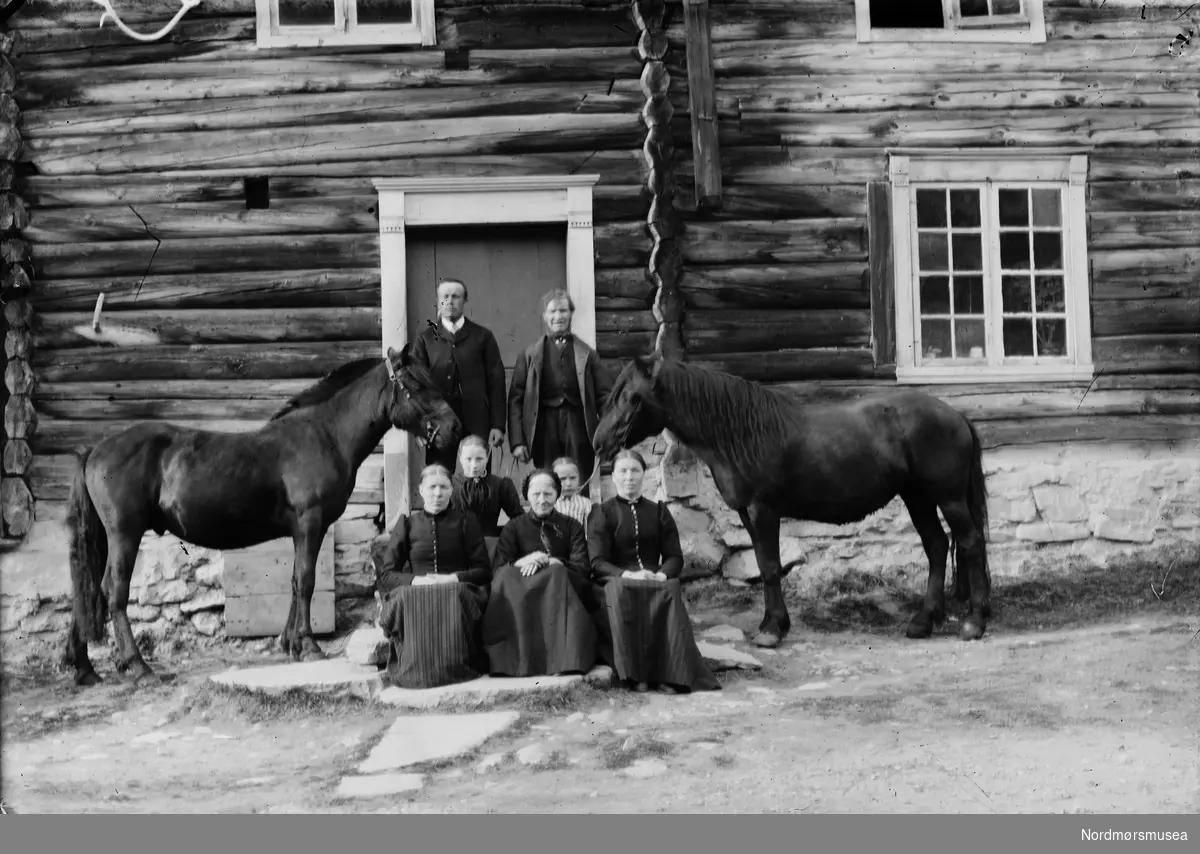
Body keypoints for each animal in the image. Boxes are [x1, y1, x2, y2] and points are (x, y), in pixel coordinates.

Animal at [592, 352, 993, 647]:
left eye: (632, 398)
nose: (599, 444)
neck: (740, 433)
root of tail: (957, 416)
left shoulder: (763, 510)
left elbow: (770, 567)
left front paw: (771, 630)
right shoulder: (748, 514)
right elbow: (762, 563)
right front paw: (772, 623)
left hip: (948, 498)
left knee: (970, 543)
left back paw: (973, 623)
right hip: (917, 497)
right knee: (937, 546)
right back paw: (924, 621)